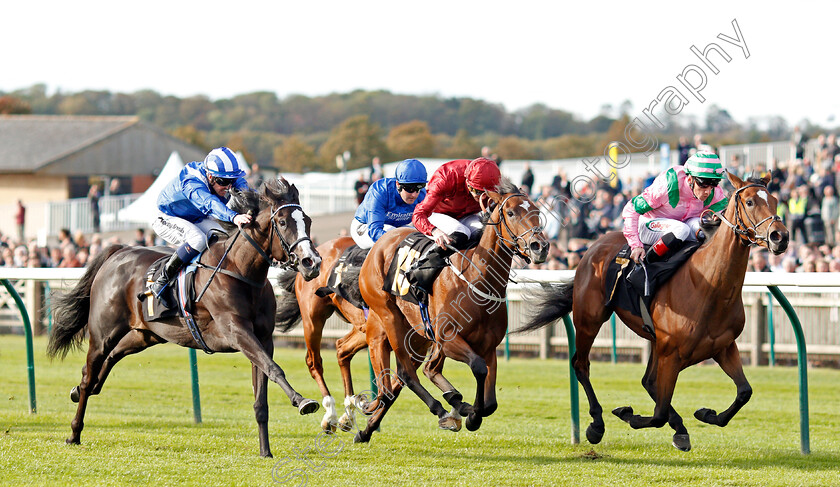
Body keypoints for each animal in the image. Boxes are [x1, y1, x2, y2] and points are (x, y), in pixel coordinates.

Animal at [46, 178, 324, 458]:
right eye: (283, 222)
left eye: (309, 221)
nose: (312, 262)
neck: (240, 271)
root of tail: (118, 253)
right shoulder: (236, 332)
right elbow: (274, 368)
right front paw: (303, 401)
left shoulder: (263, 339)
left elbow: (262, 395)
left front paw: (265, 451)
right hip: (103, 332)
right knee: (90, 371)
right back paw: (74, 431)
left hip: (144, 334)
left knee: (108, 359)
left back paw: (80, 391)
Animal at [274, 238, 372, 432]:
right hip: (313, 320)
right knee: (314, 362)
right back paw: (331, 414)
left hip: (361, 326)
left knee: (342, 348)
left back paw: (349, 411)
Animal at [354, 181, 552, 444]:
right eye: (510, 213)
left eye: (537, 211)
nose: (540, 247)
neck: (479, 281)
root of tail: (380, 242)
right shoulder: (449, 339)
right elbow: (478, 367)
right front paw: (471, 413)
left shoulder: (488, 345)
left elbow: (490, 401)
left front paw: (471, 410)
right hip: (389, 316)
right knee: (407, 373)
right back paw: (441, 409)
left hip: (419, 335)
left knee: (416, 374)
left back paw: (369, 430)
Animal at [520, 173, 788, 454]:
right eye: (749, 202)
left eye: (775, 200)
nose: (780, 236)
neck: (709, 286)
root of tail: (593, 247)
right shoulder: (672, 352)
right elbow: (658, 413)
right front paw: (628, 414)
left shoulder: (722, 346)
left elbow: (744, 392)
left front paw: (706, 414)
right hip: (589, 319)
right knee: (581, 365)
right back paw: (597, 424)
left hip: (654, 340)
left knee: (648, 382)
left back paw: (678, 427)